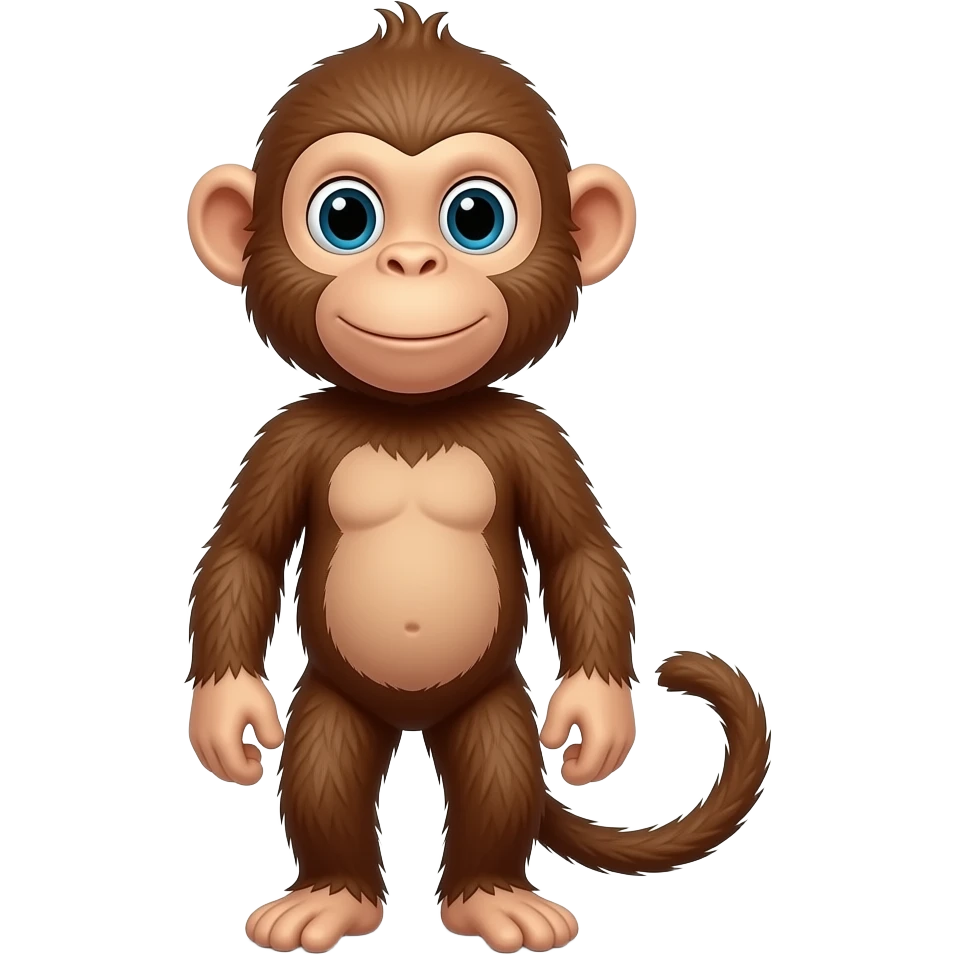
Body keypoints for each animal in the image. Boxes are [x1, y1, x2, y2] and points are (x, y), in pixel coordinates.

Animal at [184, 5, 770, 953]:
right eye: (344, 214)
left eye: (474, 215)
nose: (411, 263)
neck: (415, 415)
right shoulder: (285, 437)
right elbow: (242, 552)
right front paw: (226, 714)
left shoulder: (536, 438)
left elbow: (578, 553)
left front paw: (598, 715)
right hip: (336, 697)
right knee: (323, 766)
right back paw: (330, 896)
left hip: (492, 698)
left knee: (498, 770)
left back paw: (493, 897)